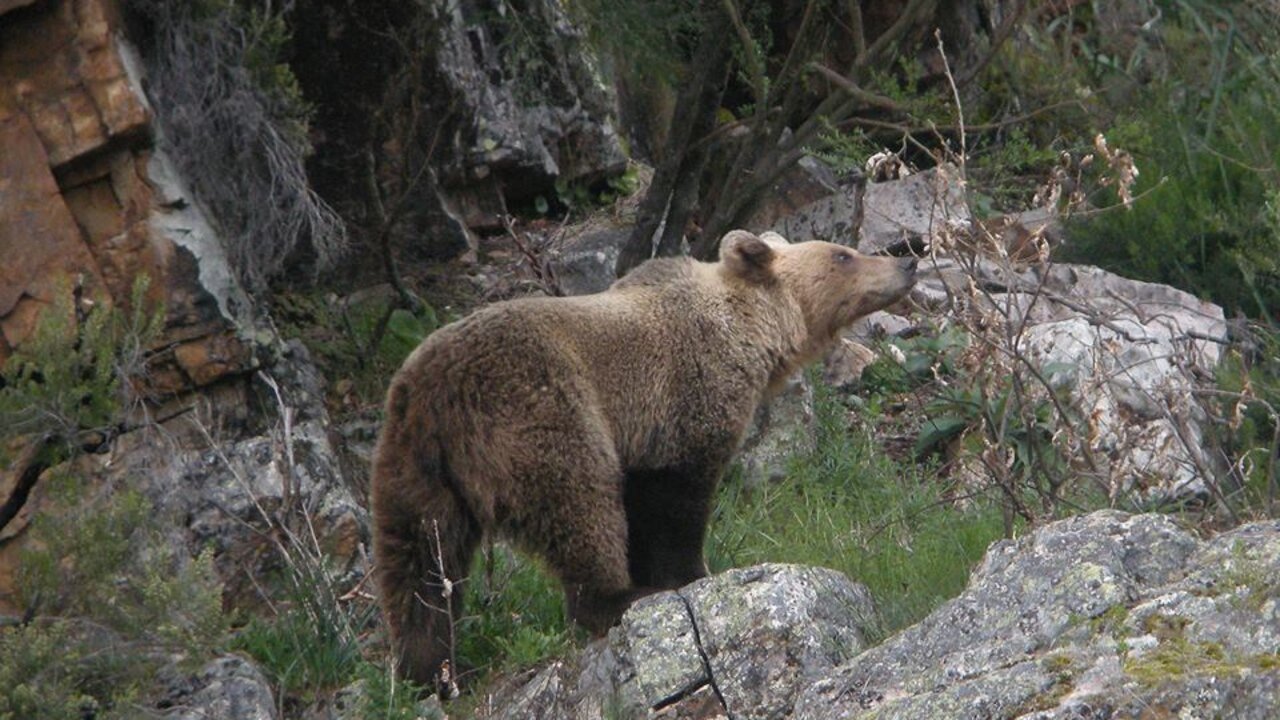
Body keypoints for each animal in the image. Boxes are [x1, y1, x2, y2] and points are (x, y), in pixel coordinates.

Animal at [371, 229, 917, 688]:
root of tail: (437, 389)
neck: (751, 333)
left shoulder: (642, 435)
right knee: (578, 502)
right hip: (539, 409)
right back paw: (615, 600)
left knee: (417, 560)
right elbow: (676, 502)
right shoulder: (682, 398)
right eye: (841, 254)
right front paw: (689, 574)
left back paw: (429, 668)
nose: (907, 261)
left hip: (412, 462)